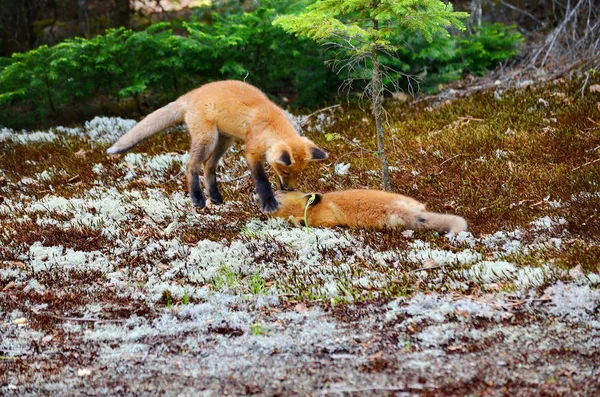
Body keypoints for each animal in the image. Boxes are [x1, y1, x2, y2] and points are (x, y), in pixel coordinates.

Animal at [105, 79, 326, 212]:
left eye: (298, 173)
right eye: (286, 172)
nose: (290, 188)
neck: (268, 123)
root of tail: (190, 94)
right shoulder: (251, 153)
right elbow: (262, 180)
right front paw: (269, 202)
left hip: (224, 141)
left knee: (208, 167)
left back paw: (215, 196)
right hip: (207, 139)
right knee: (191, 166)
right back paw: (198, 198)